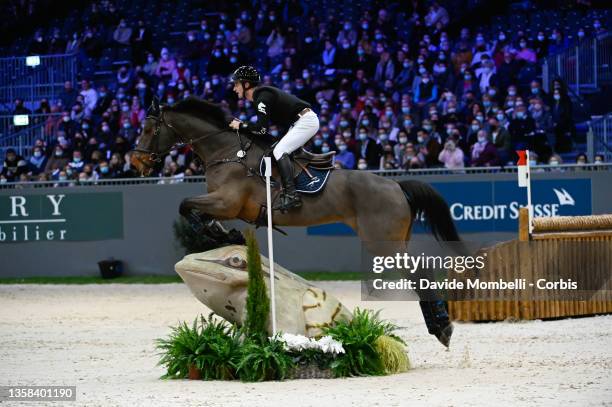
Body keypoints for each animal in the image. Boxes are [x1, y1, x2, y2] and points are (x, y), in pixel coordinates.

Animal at [131, 96, 462, 348]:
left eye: (148, 128)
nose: (135, 162)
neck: (228, 152)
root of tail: (395, 185)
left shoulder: (227, 202)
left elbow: (185, 205)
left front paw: (219, 233)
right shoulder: (225, 205)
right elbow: (194, 211)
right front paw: (224, 234)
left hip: (383, 243)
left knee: (420, 271)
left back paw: (442, 327)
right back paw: (440, 324)